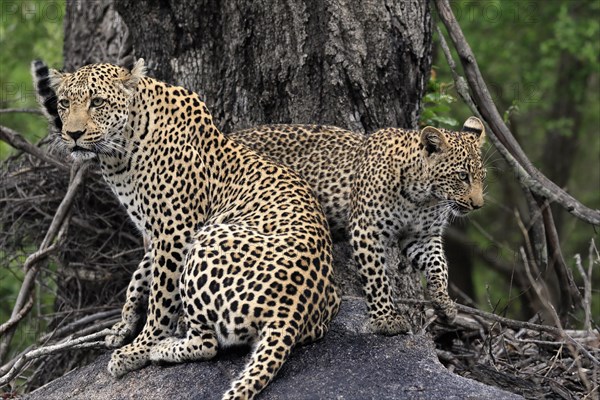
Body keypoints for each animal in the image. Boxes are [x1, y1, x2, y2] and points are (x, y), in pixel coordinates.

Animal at [36, 60, 338, 400]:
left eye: (97, 102)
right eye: (64, 103)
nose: (73, 134)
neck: (121, 151)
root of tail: (292, 309)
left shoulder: (175, 231)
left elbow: (161, 296)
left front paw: (139, 348)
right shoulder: (156, 233)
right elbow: (139, 277)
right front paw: (122, 326)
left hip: (208, 240)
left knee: (208, 344)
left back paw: (162, 347)